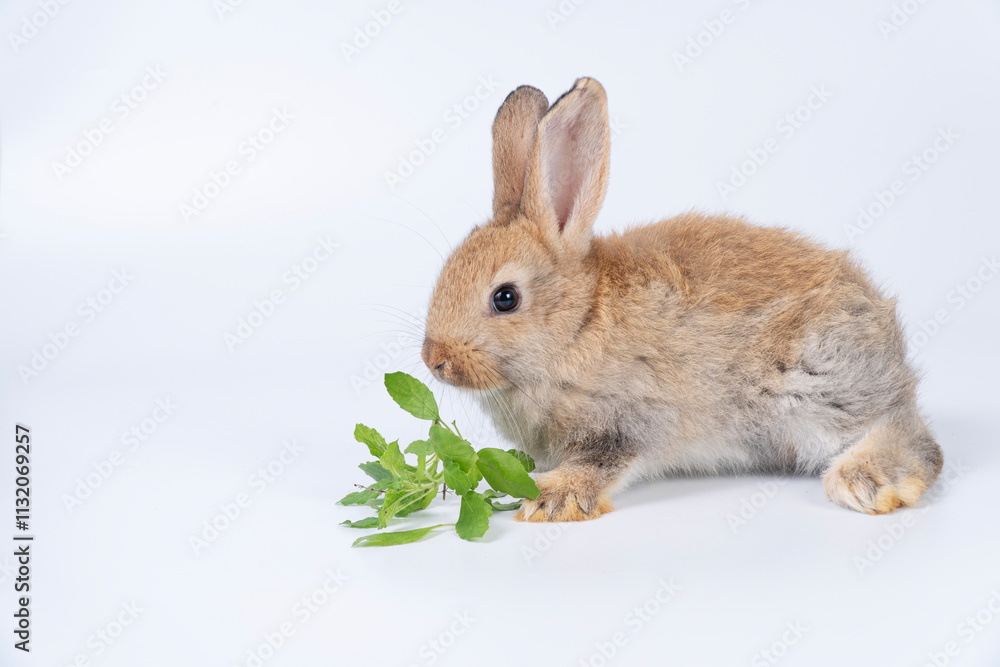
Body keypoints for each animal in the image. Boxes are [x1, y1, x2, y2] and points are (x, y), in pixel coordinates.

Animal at [420, 77, 943, 522]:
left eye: (505, 298)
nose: (435, 360)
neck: (578, 324)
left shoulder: (629, 417)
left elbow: (603, 460)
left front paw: (550, 498)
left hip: (814, 387)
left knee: (914, 441)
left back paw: (863, 482)